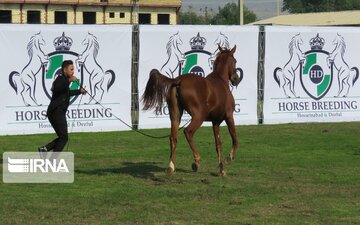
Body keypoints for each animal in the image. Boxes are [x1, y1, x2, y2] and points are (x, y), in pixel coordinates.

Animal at [142, 45, 240, 176]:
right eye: (235, 61)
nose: (236, 79)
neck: (220, 81)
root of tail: (178, 80)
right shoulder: (229, 116)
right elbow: (235, 139)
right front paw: (228, 159)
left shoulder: (215, 122)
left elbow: (218, 144)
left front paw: (221, 169)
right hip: (199, 116)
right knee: (188, 132)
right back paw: (196, 161)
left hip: (175, 116)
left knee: (173, 137)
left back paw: (171, 167)